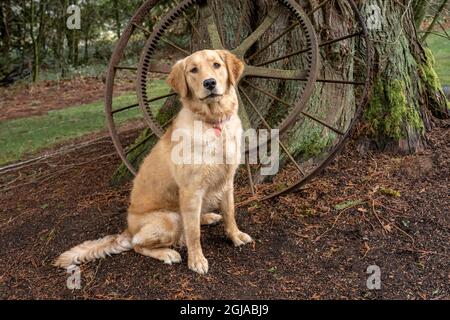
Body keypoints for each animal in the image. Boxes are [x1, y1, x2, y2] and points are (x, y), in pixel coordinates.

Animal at [54, 50, 253, 276]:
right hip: (169, 219)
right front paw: (196, 261)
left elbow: (230, 213)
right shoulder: (191, 190)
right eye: (193, 70)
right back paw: (168, 253)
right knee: (140, 244)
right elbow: (194, 234)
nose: (209, 83)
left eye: (217, 65)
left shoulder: (227, 181)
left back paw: (208, 217)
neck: (212, 122)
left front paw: (235, 236)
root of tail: (128, 229)